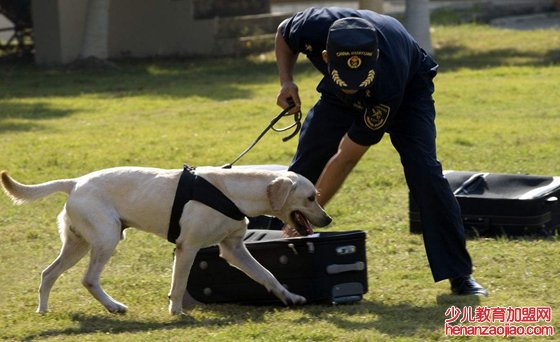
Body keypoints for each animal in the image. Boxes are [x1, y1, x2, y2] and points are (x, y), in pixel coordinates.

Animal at [1, 166, 332, 316]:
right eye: (310, 198)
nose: (328, 220)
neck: (232, 193)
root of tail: (75, 182)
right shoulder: (188, 247)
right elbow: (179, 284)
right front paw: (176, 312)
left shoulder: (234, 249)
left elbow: (268, 275)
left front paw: (290, 297)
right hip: (105, 240)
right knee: (88, 279)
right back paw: (113, 306)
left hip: (77, 245)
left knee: (48, 273)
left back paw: (43, 310)